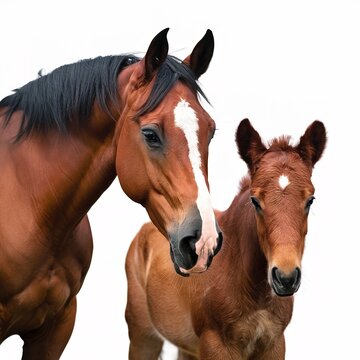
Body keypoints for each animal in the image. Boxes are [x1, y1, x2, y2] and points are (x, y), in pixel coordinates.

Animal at [125, 117, 328, 358]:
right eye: (255, 200)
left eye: (310, 200)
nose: (285, 278)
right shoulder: (215, 345)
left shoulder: (274, 344)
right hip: (143, 336)